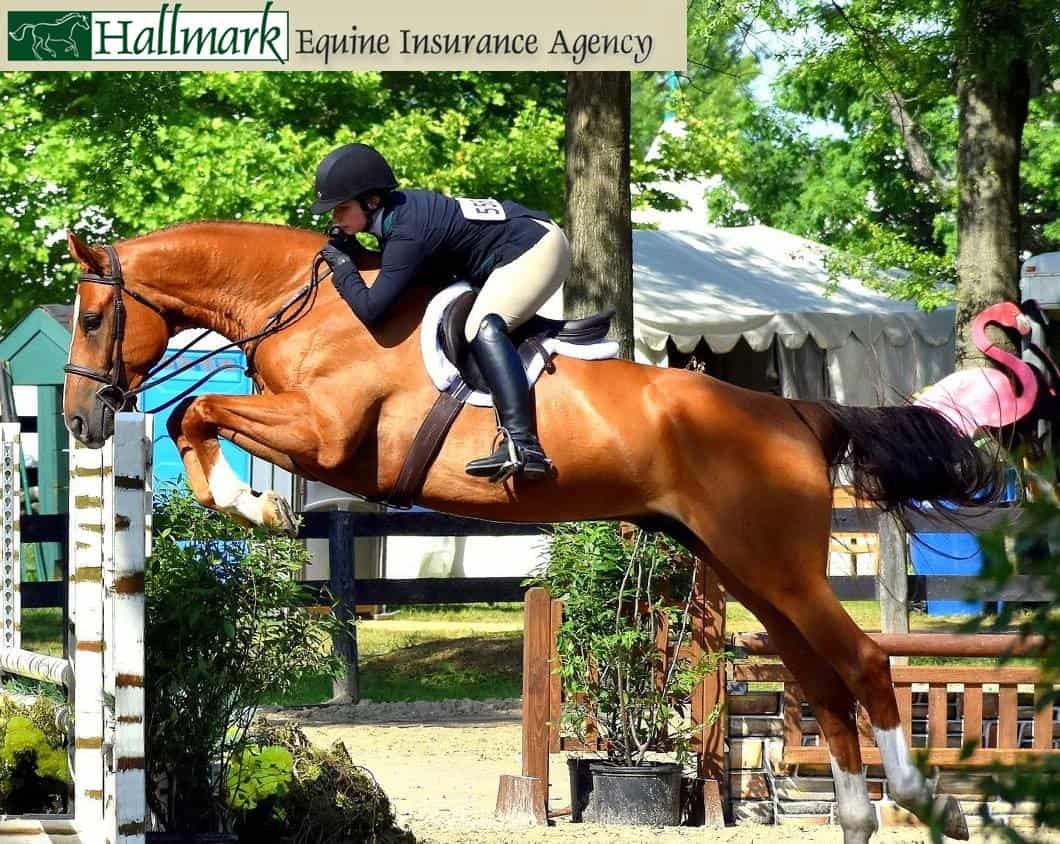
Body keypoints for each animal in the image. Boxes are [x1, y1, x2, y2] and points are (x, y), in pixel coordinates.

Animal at [63, 223, 1000, 843]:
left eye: (93, 318)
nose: (78, 419)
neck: (309, 308)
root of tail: (800, 412)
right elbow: (192, 412)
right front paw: (247, 503)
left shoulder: (325, 435)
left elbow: (196, 408)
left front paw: (252, 505)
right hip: (751, 572)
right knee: (824, 682)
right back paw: (856, 814)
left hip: (778, 568)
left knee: (865, 663)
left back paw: (925, 800)